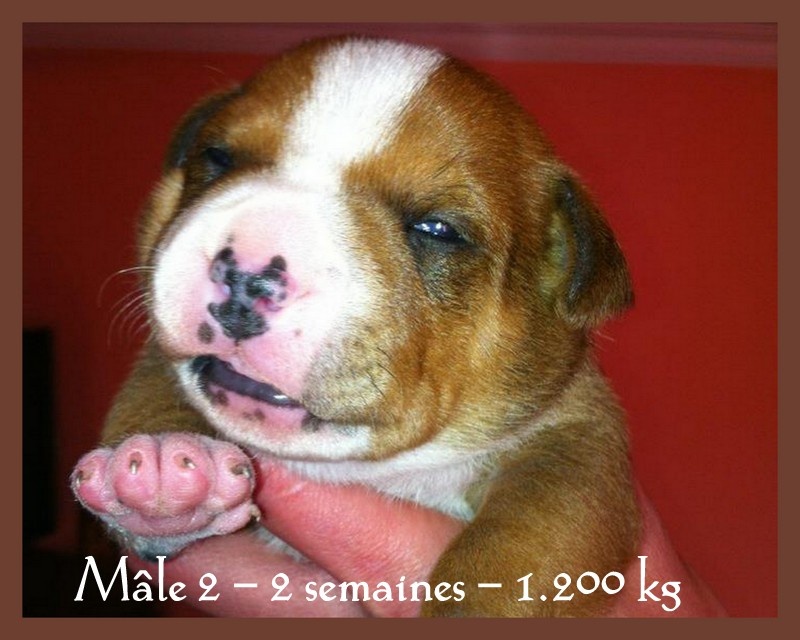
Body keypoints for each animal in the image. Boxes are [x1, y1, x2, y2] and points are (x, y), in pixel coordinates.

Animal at [71, 35, 639, 617]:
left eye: (437, 229)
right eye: (219, 158)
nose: (248, 274)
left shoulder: (575, 444)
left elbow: (518, 544)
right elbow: (154, 390)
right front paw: (163, 468)